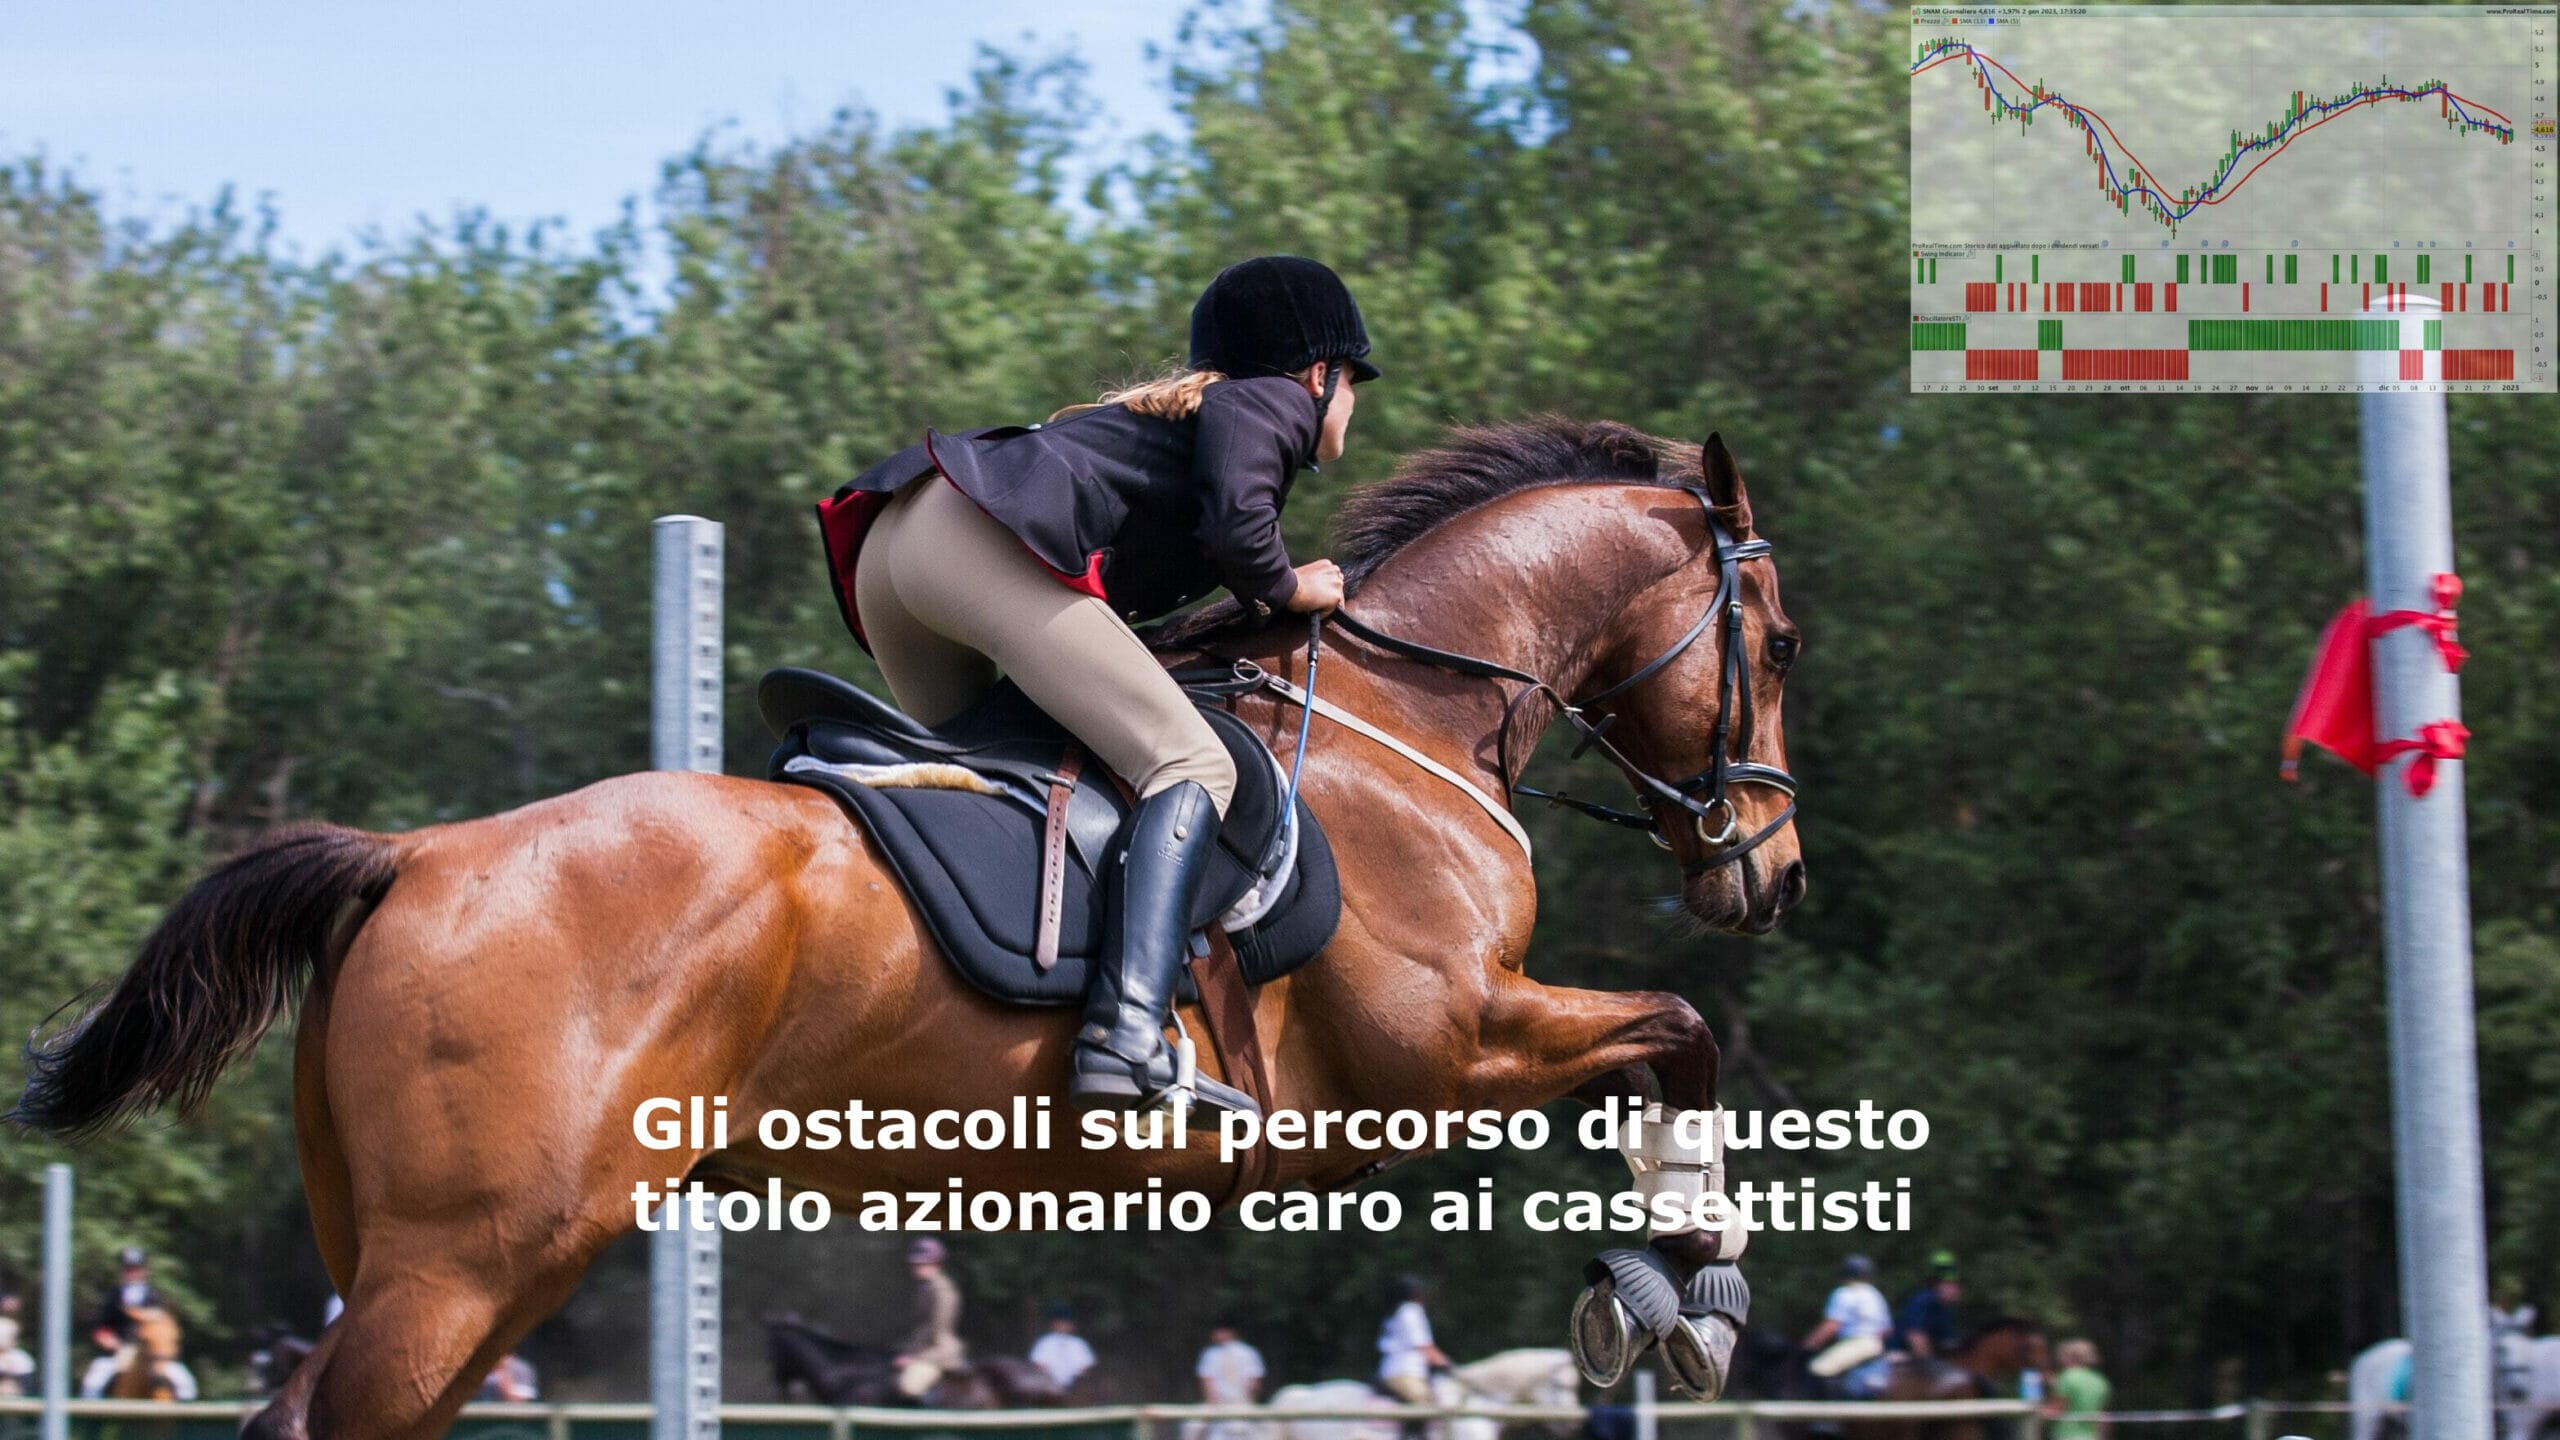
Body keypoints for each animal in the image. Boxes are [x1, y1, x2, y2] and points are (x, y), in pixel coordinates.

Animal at [13, 419, 1806, 1440]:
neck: (1400, 719)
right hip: (465, 1263)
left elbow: (1669, 1046)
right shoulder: (1436, 1052)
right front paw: (1683, 1296)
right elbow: (1677, 1036)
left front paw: (1663, 1282)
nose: (1767, 874)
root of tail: (413, 859)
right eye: (1777, 641)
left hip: (469, 1261)